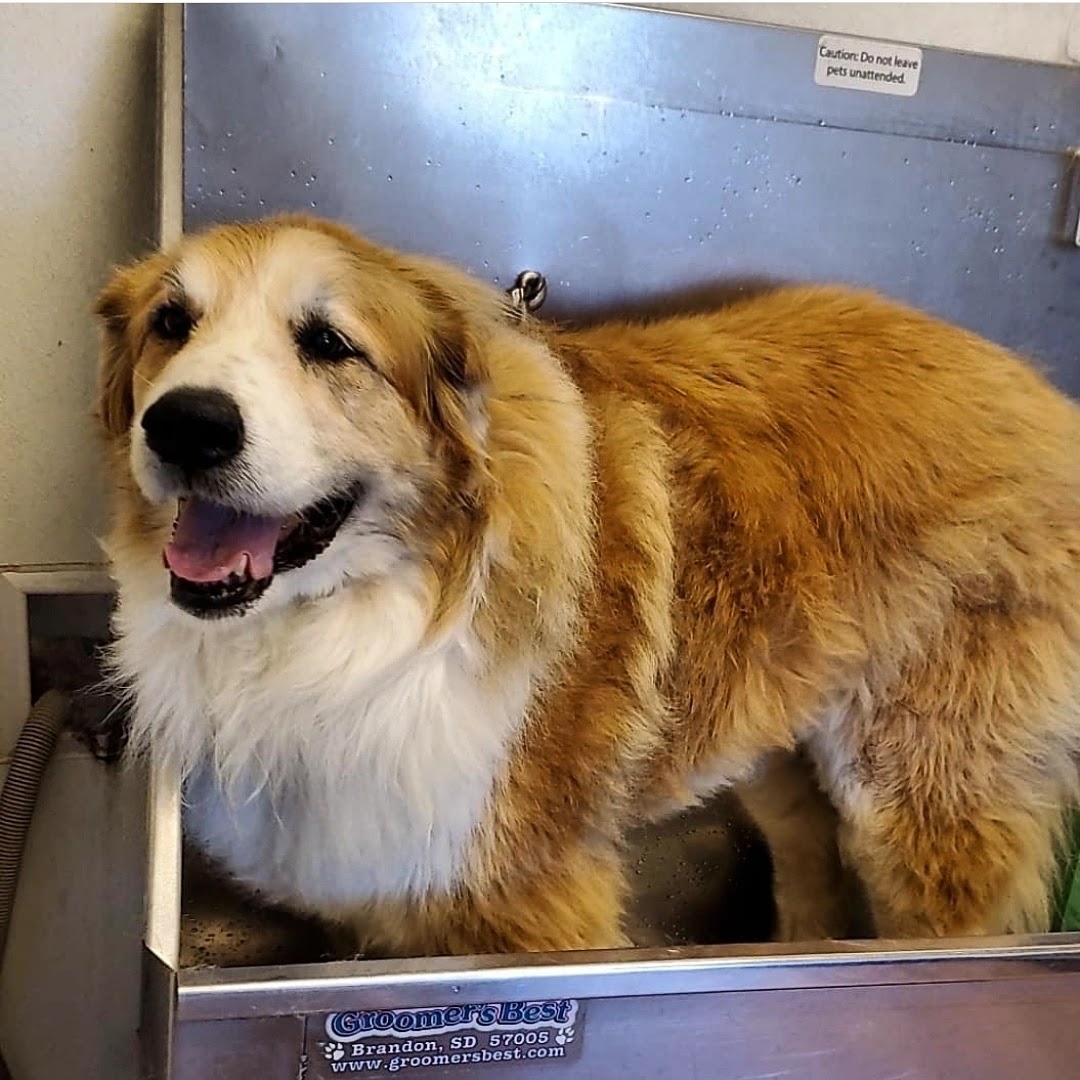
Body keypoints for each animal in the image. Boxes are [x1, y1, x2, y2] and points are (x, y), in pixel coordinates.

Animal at [95, 212, 1080, 954]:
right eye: (171, 324)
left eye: (330, 344)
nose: (185, 425)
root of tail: (1029, 384)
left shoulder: (532, 902)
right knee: (807, 848)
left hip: (919, 804)